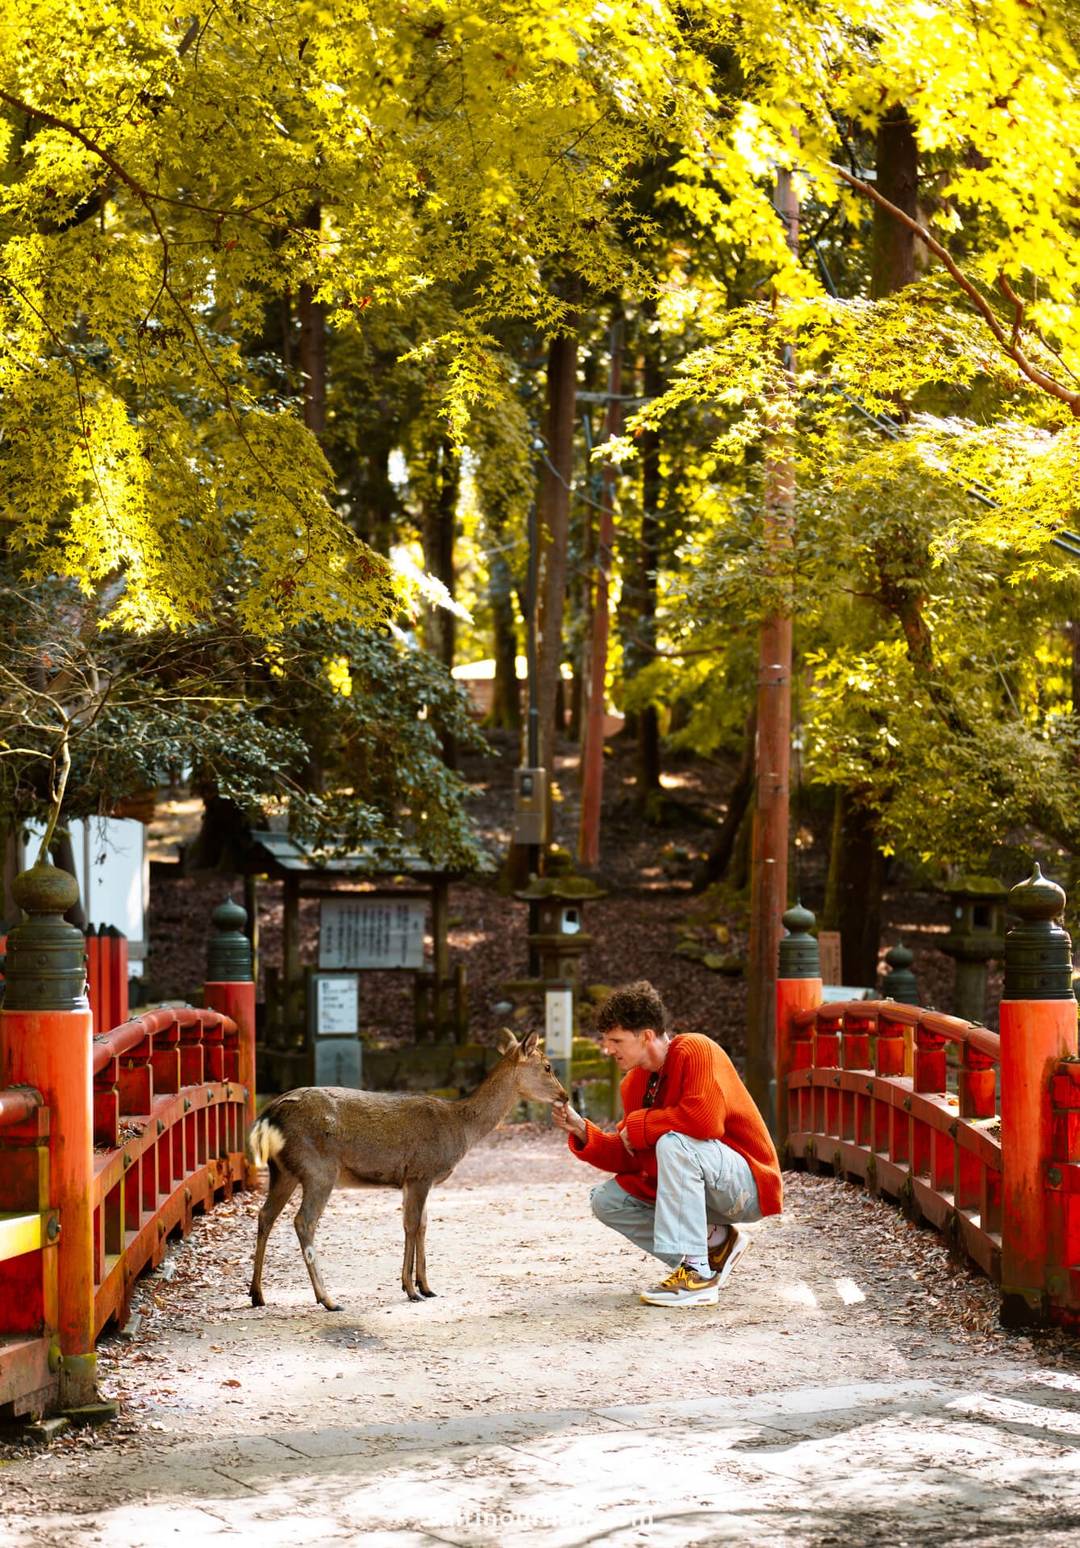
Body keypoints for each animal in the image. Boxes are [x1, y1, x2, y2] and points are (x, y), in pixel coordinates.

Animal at [247, 1029, 567, 1308]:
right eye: (547, 1066)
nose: (565, 1096)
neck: (461, 1127)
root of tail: (268, 1115)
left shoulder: (412, 1180)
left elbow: (420, 1224)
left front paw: (425, 1286)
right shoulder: (421, 1172)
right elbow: (413, 1225)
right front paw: (412, 1289)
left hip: (283, 1171)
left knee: (266, 1215)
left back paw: (257, 1294)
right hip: (319, 1169)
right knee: (303, 1221)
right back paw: (327, 1299)